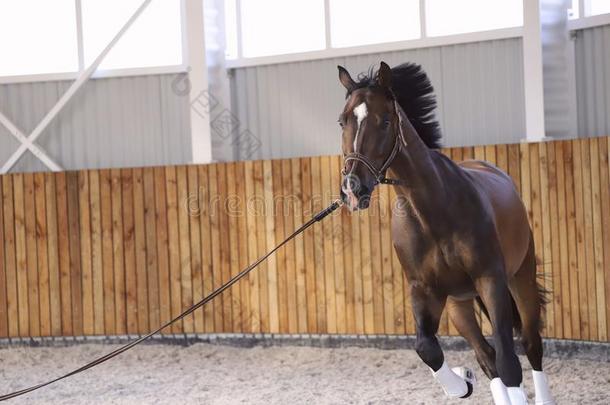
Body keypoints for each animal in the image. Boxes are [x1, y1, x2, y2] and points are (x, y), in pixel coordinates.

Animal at [334, 60, 552, 404]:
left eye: (385, 121)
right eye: (343, 121)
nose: (353, 189)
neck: (433, 212)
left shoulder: (490, 280)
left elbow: (510, 361)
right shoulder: (424, 290)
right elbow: (427, 348)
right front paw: (462, 382)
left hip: (520, 280)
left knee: (530, 344)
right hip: (458, 305)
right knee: (486, 356)